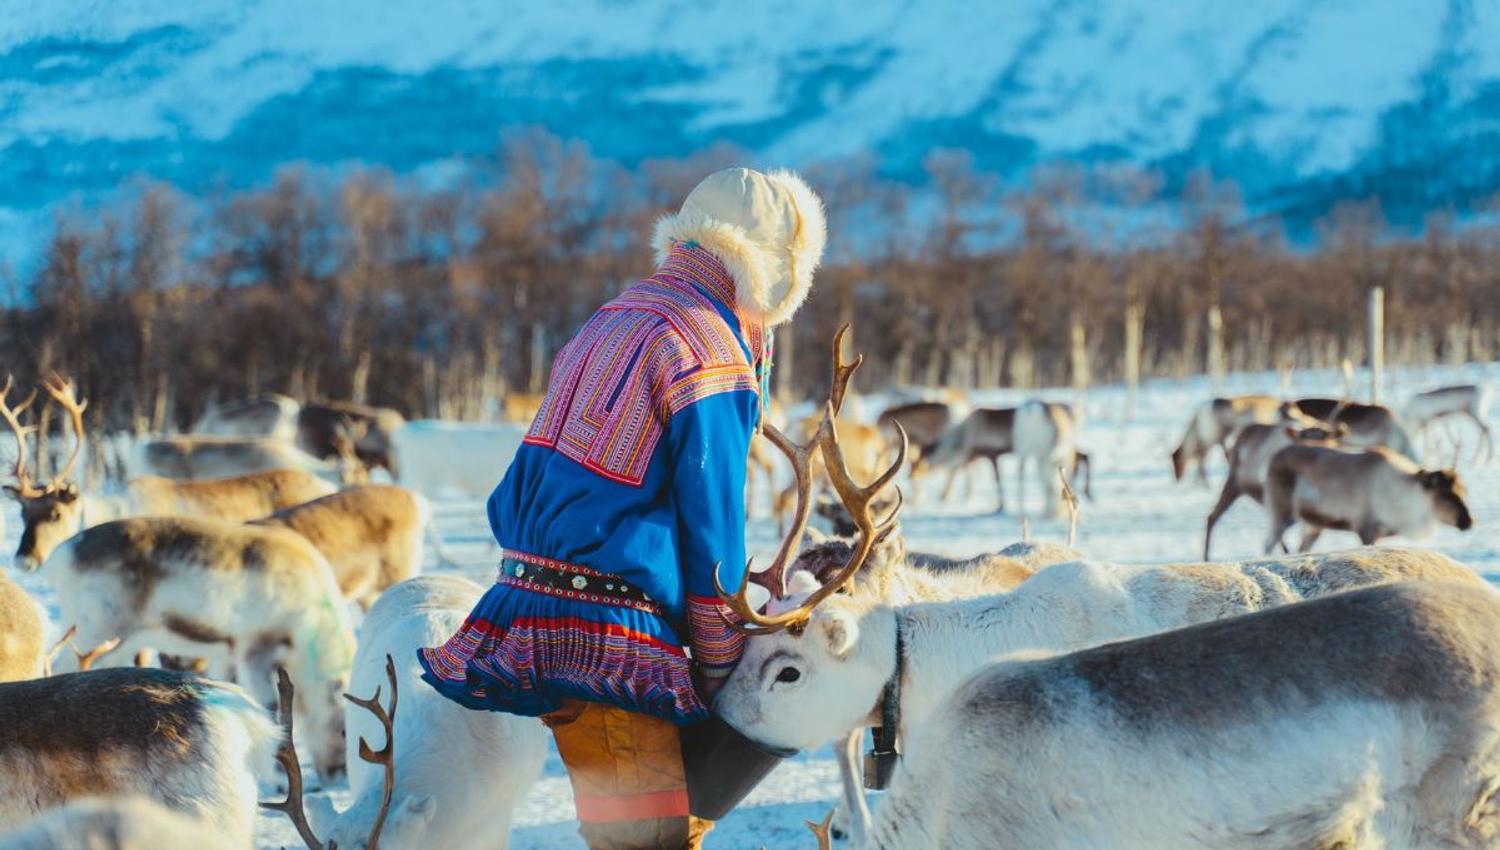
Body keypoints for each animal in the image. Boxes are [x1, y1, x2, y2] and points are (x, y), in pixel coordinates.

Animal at [28, 516, 357, 782]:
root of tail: (61, 556)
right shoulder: (254, 649)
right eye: (344, 729)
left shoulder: (226, 655)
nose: (337, 774)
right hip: (95, 630)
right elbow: (267, 707)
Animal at [1202, 421, 1344, 560]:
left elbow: (1304, 545)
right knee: (1212, 516)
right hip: (1238, 483)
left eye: (1326, 438)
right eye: (1301, 438)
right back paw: (1206, 557)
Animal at [1263, 444, 1473, 553]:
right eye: (1444, 493)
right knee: (1267, 544)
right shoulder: (1365, 529)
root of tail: (1273, 457)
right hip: (1281, 513)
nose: (1468, 521)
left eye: (1464, 490)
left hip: (1313, 526)